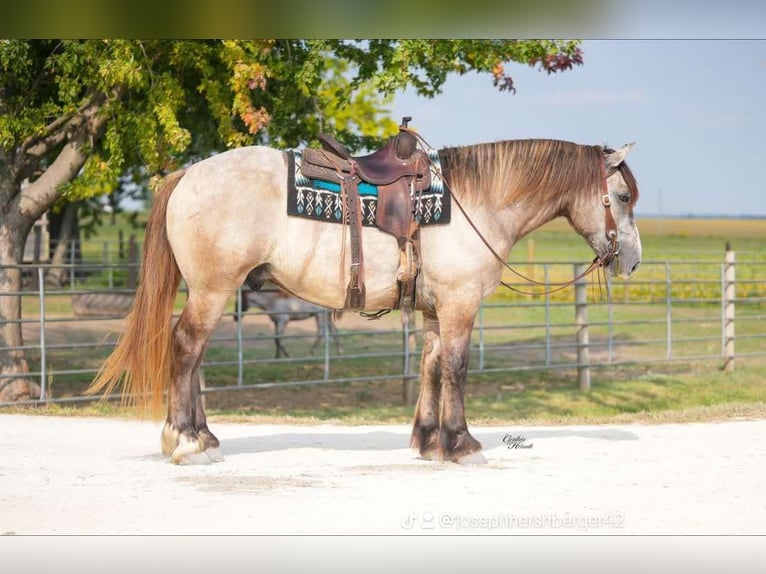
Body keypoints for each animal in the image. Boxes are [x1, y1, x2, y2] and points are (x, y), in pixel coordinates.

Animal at [88, 137, 641, 465]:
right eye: (623, 197)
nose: (632, 261)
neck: (476, 201)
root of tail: (187, 175)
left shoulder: (435, 310)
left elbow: (430, 366)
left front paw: (428, 441)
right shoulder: (460, 304)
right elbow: (456, 368)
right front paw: (462, 444)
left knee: (195, 355)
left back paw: (203, 437)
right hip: (213, 289)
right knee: (186, 349)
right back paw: (185, 442)